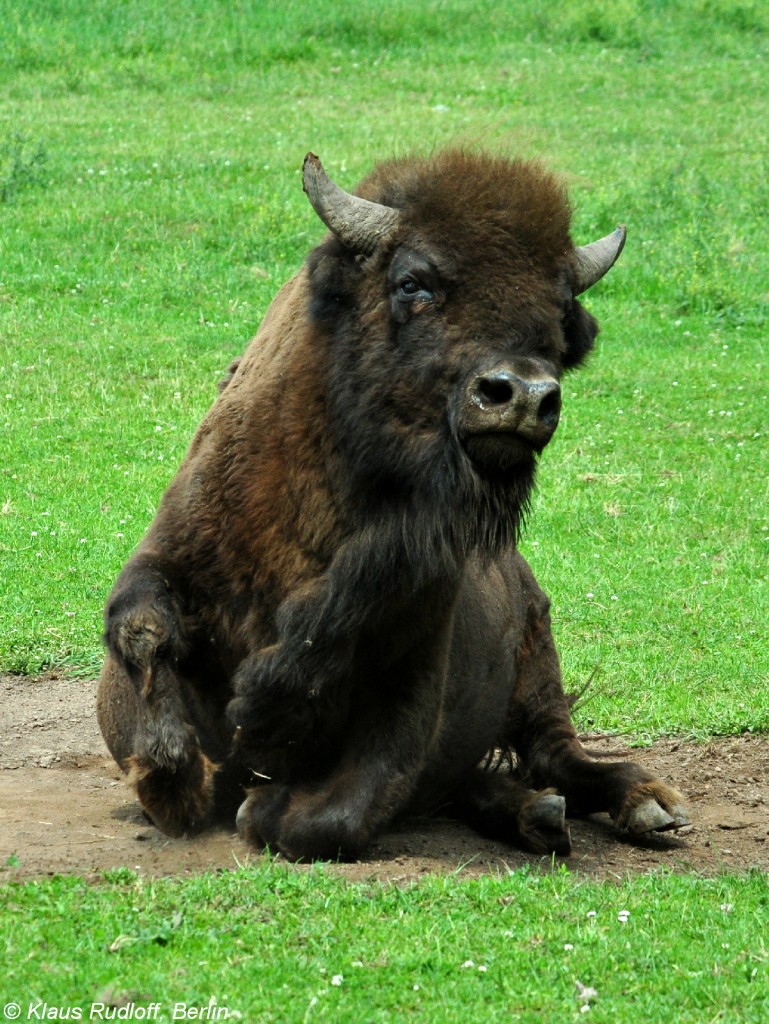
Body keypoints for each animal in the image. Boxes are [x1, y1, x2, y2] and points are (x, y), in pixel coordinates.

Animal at [97, 148, 692, 860]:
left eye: (560, 307)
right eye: (412, 282)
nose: (521, 396)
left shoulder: (410, 671)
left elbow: (328, 816)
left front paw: (259, 790)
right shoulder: (167, 559)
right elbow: (142, 627)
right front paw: (176, 773)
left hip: (537, 667)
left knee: (555, 754)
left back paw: (643, 804)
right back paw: (540, 815)